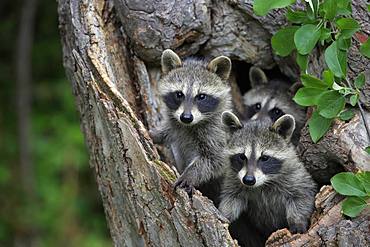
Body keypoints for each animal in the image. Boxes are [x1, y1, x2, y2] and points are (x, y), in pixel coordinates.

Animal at [150, 49, 231, 197]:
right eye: (179, 94)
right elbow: (168, 131)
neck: (188, 126)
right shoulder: (176, 124)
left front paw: (190, 175)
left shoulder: (216, 133)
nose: (186, 117)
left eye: (201, 96)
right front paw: (155, 134)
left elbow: (215, 160)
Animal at [218, 111, 316, 245]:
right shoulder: (234, 179)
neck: (263, 183)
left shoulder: (295, 174)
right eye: (242, 157)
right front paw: (224, 215)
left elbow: (302, 195)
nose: (248, 180)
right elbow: (231, 198)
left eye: (264, 158)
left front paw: (297, 220)